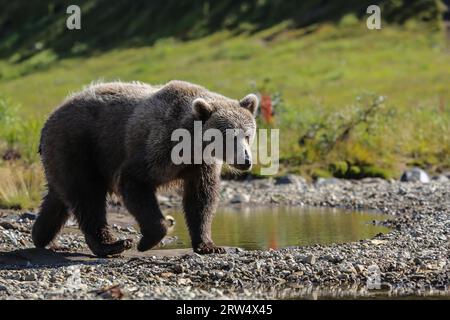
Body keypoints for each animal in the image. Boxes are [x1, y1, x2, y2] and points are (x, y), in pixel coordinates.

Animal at [31, 80, 258, 258]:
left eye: (247, 135)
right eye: (227, 136)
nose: (246, 160)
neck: (191, 147)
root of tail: (50, 118)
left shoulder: (200, 165)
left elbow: (201, 199)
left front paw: (208, 245)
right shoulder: (156, 147)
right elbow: (134, 182)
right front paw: (146, 240)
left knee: (59, 197)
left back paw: (42, 237)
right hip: (78, 145)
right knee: (87, 195)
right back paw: (112, 244)